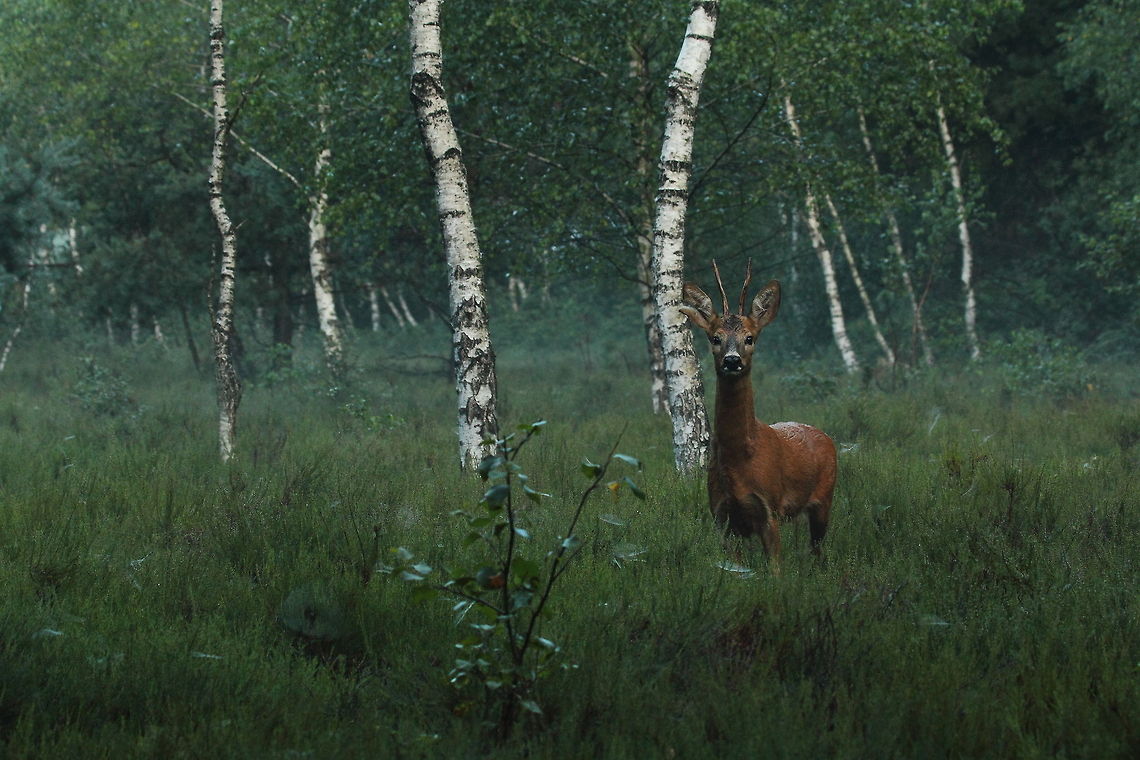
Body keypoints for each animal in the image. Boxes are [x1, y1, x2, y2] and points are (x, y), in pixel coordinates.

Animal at [679, 260, 837, 568]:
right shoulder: (721, 517)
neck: (740, 462)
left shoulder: (769, 509)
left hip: (824, 498)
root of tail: (823, 434)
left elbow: (775, 568)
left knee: (818, 549)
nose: (732, 360)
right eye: (715, 338)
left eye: (749, 338)